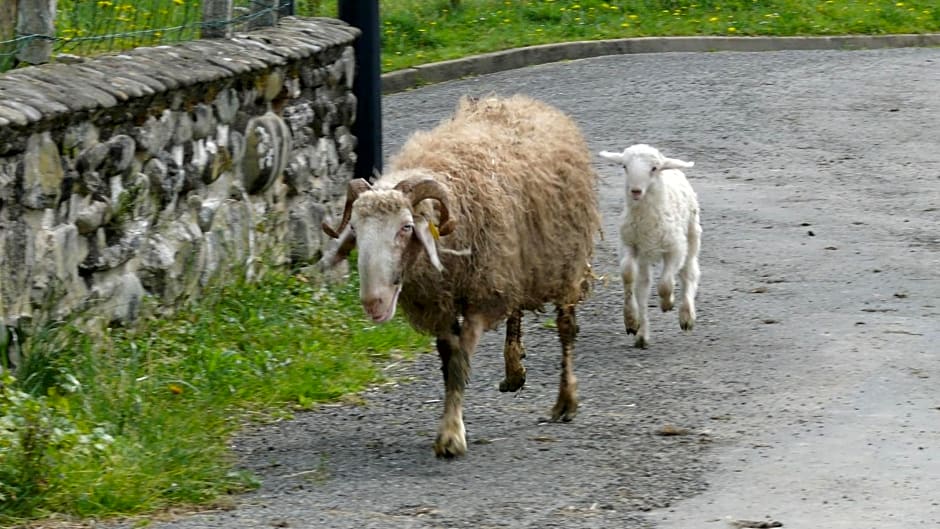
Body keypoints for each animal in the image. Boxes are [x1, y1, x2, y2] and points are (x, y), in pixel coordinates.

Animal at [320, 95, 600, 458]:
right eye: (354, 228)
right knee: (516, 309)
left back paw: (566, 401)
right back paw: (514, 371)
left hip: (563, 258)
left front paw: (451, 436)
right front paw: (451, 423)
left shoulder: (481, 298)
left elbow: (460, 364)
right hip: (513, 259)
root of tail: (523, 102)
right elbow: (447, 362)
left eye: (406, 227)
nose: (373, 302)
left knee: (566, 328)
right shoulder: (441, 304)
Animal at [600, 143, 700, 346]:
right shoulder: (629, 244)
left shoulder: (675, 248)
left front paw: (667, 302)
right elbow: (628, 275)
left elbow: (665, 283)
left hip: (692, 234)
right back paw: (641, 334)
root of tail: (671, 166)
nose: (636, 191)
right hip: (644, 256)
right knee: (643, 287)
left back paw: (686, 315)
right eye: (624, 166)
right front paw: (631, 320)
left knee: (689, 273)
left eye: (654, 169)